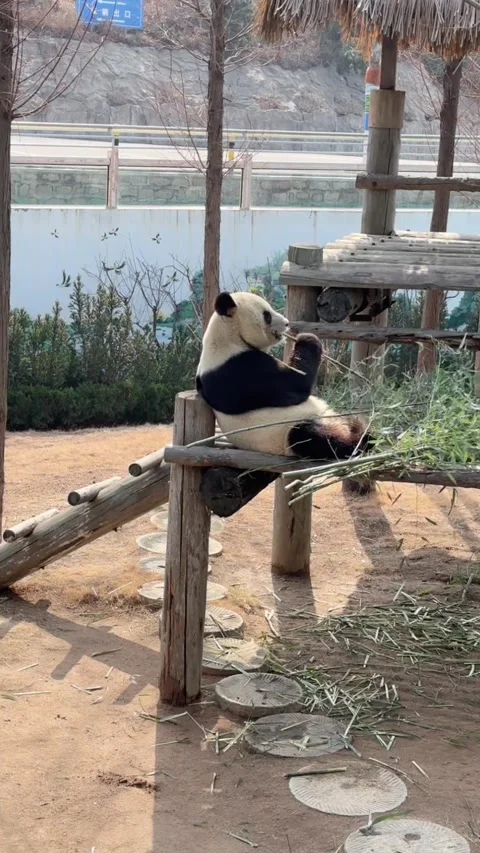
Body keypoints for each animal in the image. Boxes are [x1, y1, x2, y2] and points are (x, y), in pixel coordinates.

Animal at [196, 290, 372, 461]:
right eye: (267, 315)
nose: (287, 323)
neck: (228, 337)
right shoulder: (236, 370)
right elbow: (295, 386)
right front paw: (307, 339)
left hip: (333, 416)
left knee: (346, 420)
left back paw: (360, 427)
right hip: (288, 431)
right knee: (309, 437)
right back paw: (360, 439)